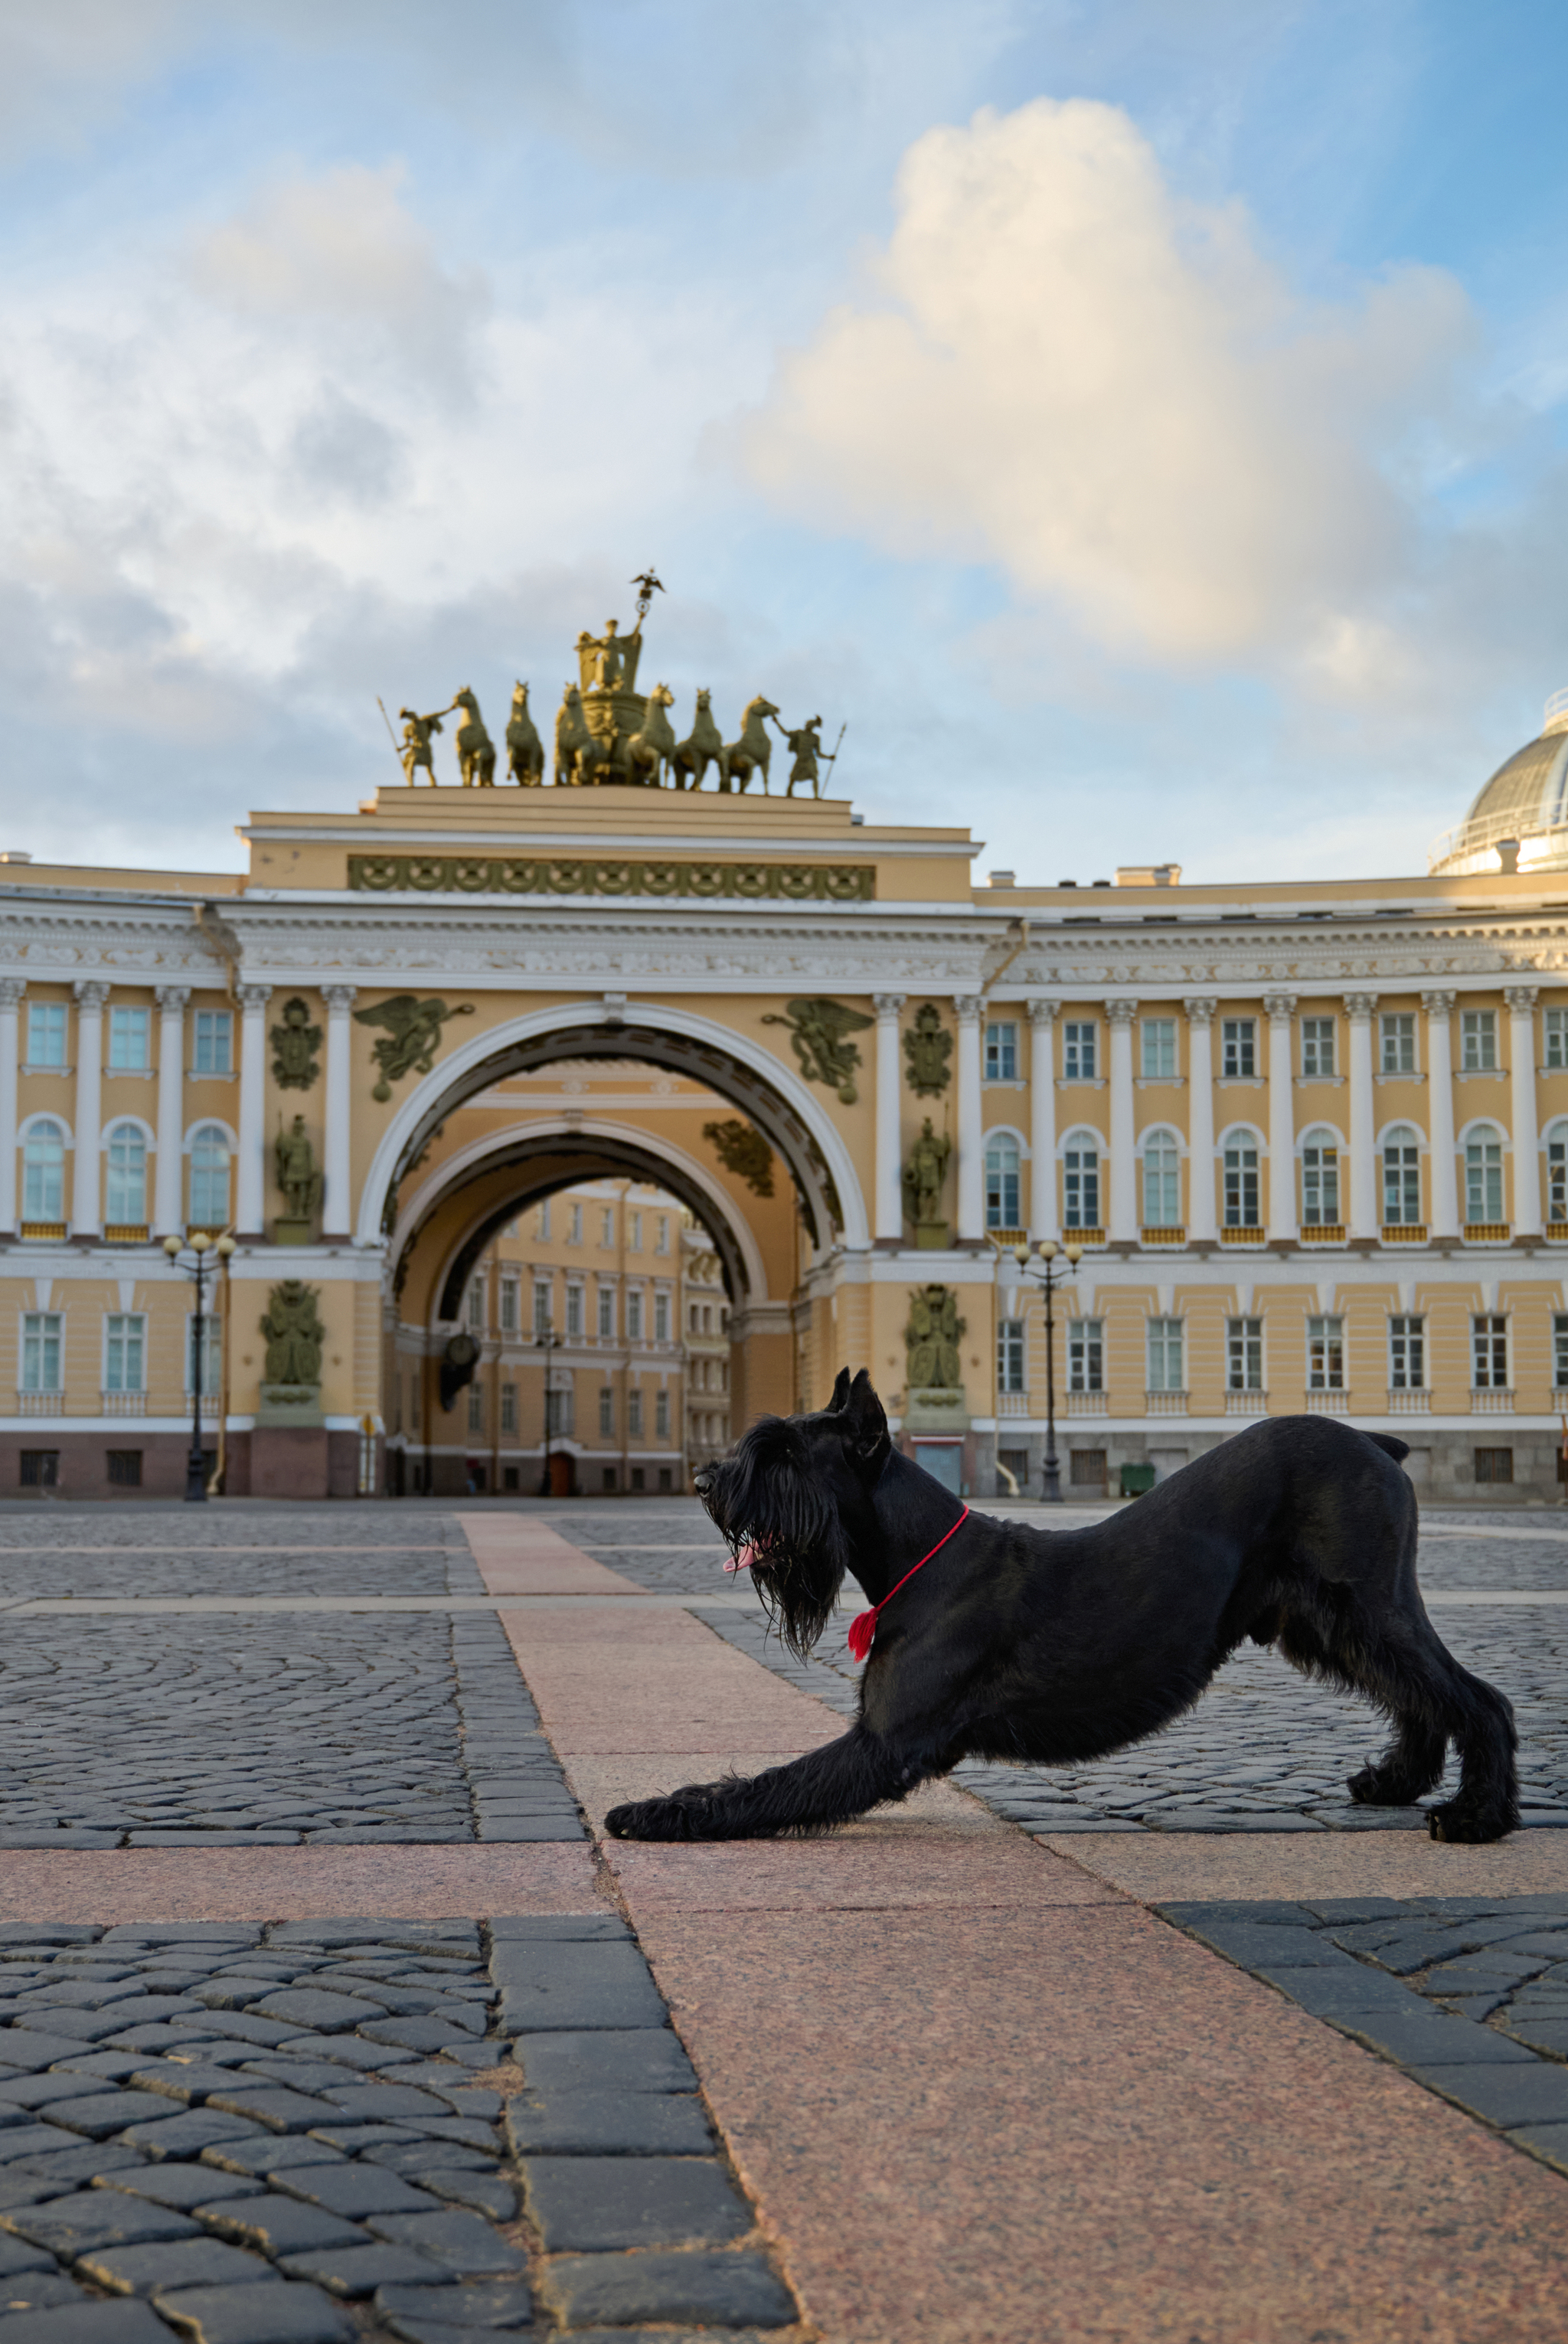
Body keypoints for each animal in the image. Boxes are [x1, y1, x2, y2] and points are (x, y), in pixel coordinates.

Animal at [604, 1368, 1518, 1847]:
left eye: (787, 1454)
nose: (705, 1481)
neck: (919, 1560)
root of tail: (1378, 1443)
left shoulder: (883, 1742)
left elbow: (768, 1786)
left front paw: (655, 1811)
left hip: (1363, 1608)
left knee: (1478, 1697)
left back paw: (1479, 1815)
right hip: (1332, 1621)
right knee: (1420, 1695)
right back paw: (1395, 1784)